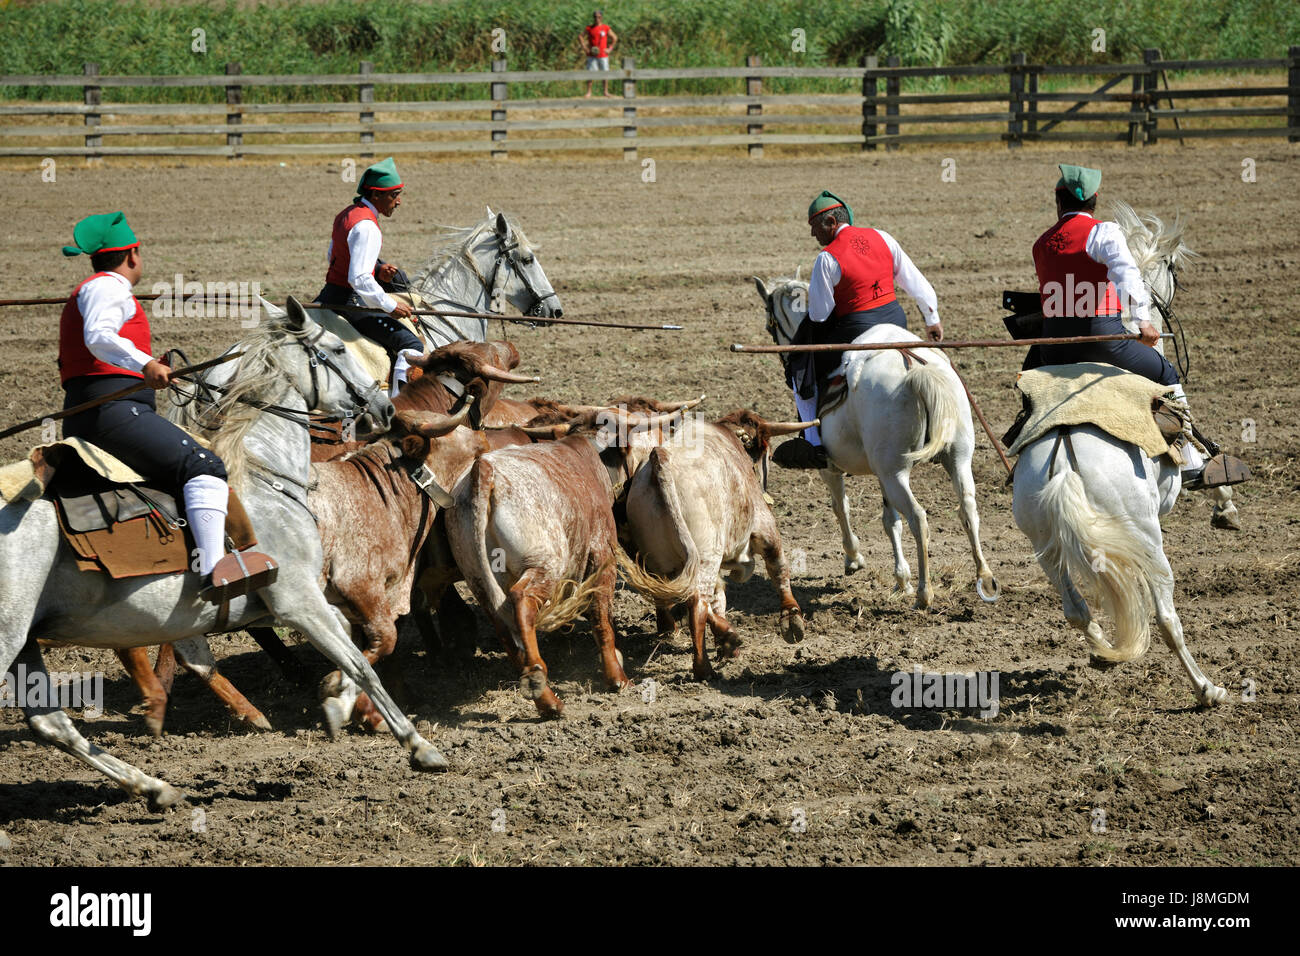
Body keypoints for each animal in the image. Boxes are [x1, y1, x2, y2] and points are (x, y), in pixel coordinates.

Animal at [0, 299, 449, 806]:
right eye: (337, 348)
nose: (384, 404)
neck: (265, 478)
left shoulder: (299, 602)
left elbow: (355, 646)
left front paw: (335, 700)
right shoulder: (299, 601)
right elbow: (360, 661)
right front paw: (419, 745)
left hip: (27, 643)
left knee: (51, 724)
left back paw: (153, 786)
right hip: (10, 637)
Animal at [754, 273, 993, 608]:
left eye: (770, 324)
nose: (787, 364)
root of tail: (913, 366)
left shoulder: (830, 469)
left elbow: (841, 507)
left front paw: (854, 558)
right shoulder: (881, 473)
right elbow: (889, 519)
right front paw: (901, 578)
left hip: (896, 473)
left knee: (918, 518)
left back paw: (925, 592)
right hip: (955, 458)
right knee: (967, 507)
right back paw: (984, 576)